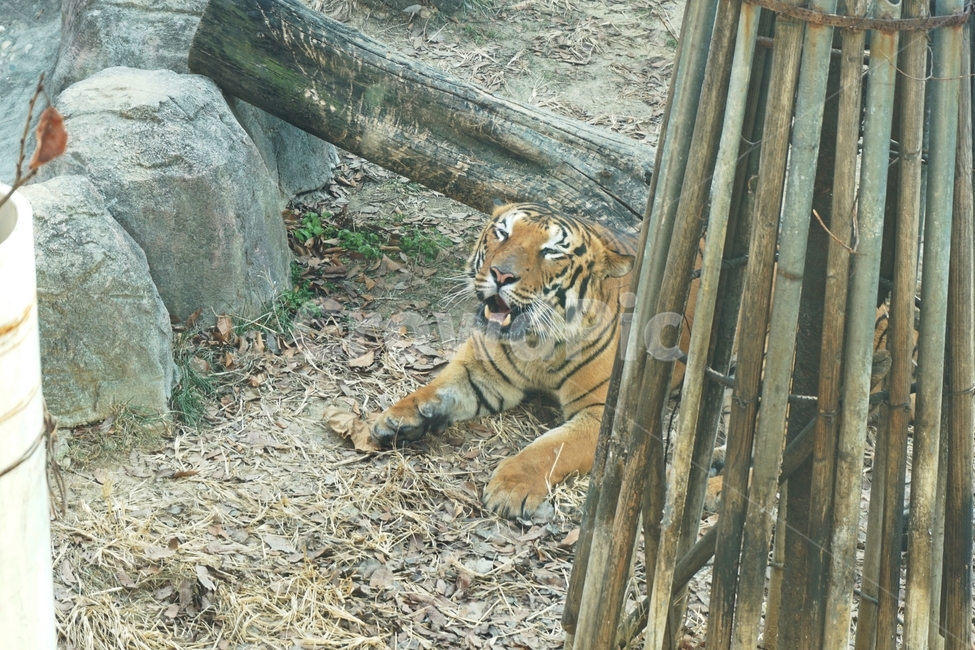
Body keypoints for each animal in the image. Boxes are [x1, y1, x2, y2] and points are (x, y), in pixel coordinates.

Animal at [371, 202, 691, 518]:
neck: (537, 343)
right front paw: (397, 418)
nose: (501, 275)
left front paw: (510, 487)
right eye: (502, 233)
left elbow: (554, 446)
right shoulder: (481, 373)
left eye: (551, 251)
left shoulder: (605, 413)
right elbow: (436, 388)